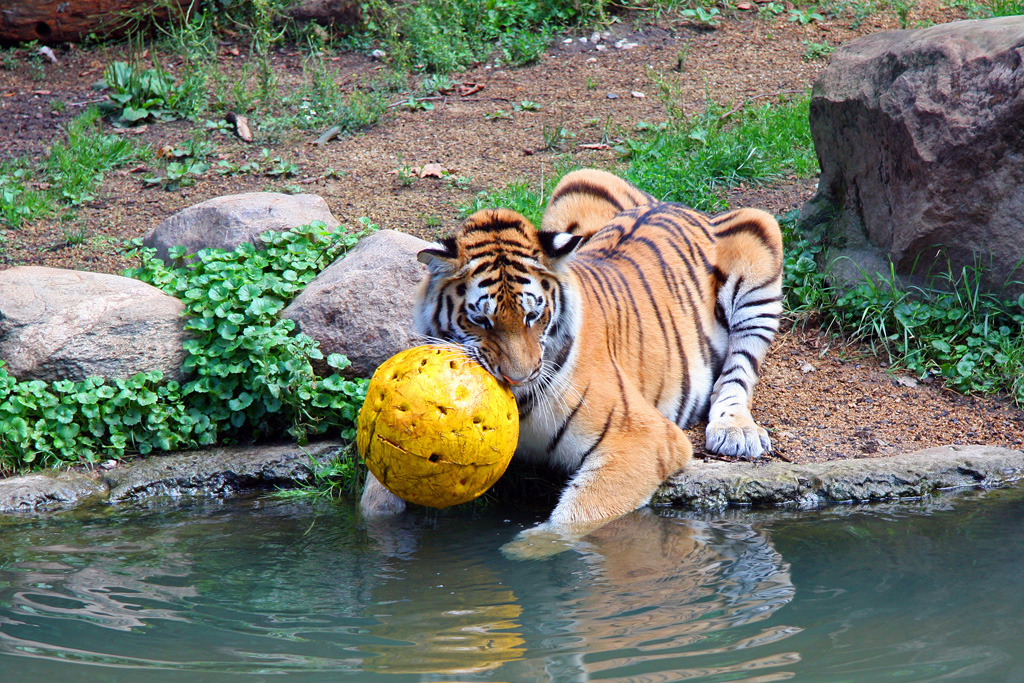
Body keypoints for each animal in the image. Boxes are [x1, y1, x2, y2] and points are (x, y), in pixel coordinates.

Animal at [360, 167, 782, 540]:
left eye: (532, 316)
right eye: (481, 321)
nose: (517, 376)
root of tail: (669, 203)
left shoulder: (644, 437)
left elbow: (578, 515)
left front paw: (532, 546)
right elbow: (376, 498)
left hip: (760, 241)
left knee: (739, 371)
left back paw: (735, 431)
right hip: (578, 181)